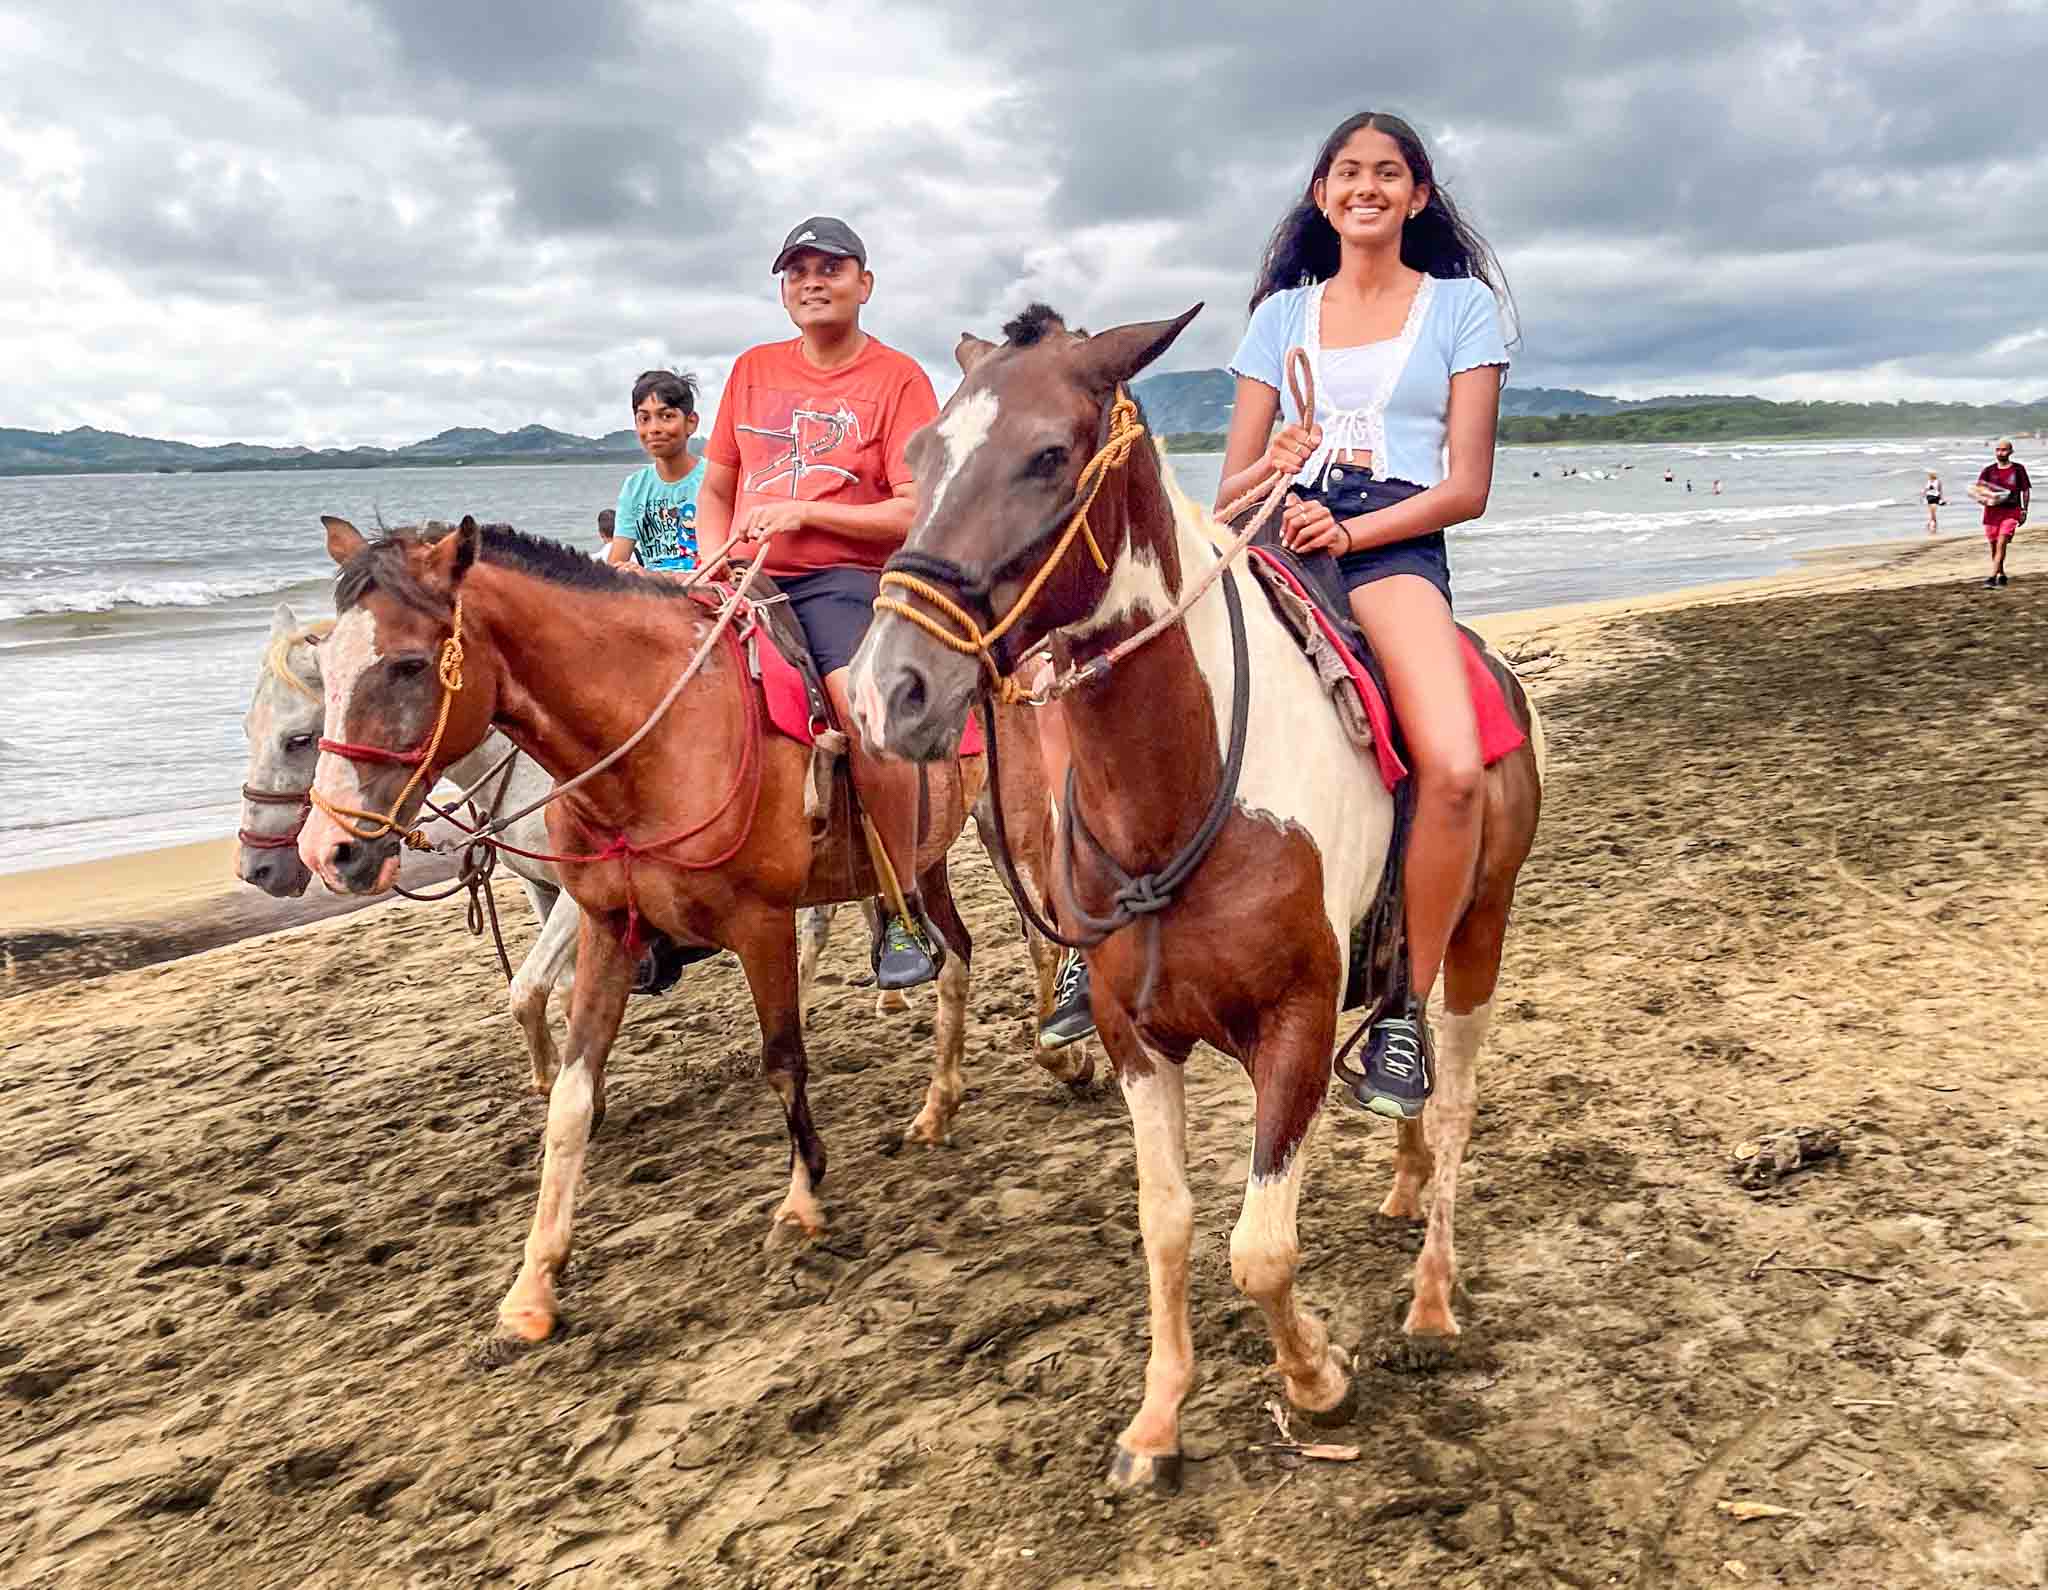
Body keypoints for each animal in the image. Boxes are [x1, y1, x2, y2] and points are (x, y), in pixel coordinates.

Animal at [295, 517, 1077, 1345]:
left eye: (410, 664)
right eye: (325, 668)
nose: (327, 849)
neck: (654, 741)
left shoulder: (762, 922)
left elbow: (783, 1062)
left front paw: (801, 1203)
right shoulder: (606, 928)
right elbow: (570, 1095)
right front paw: (534, 1282)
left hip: (1011, 821)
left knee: (1041, 937)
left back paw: (1061, 1053)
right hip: (922, 857)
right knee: (956, 956)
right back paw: (938, 1106)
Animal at [849, 305, 1544, 1490]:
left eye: (1048, 455)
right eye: (921, 456)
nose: (885, 690)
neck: (1182, 786)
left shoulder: (1294, 1028)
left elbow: (1258, 1249)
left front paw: (1316, 1379)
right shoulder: (1136, 1038)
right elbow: (1167, 1222)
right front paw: (1156, 1420)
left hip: (1479, 933)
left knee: (1452, 1103)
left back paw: (1431, 1298)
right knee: (1411, 1095)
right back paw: (1402, 1182)